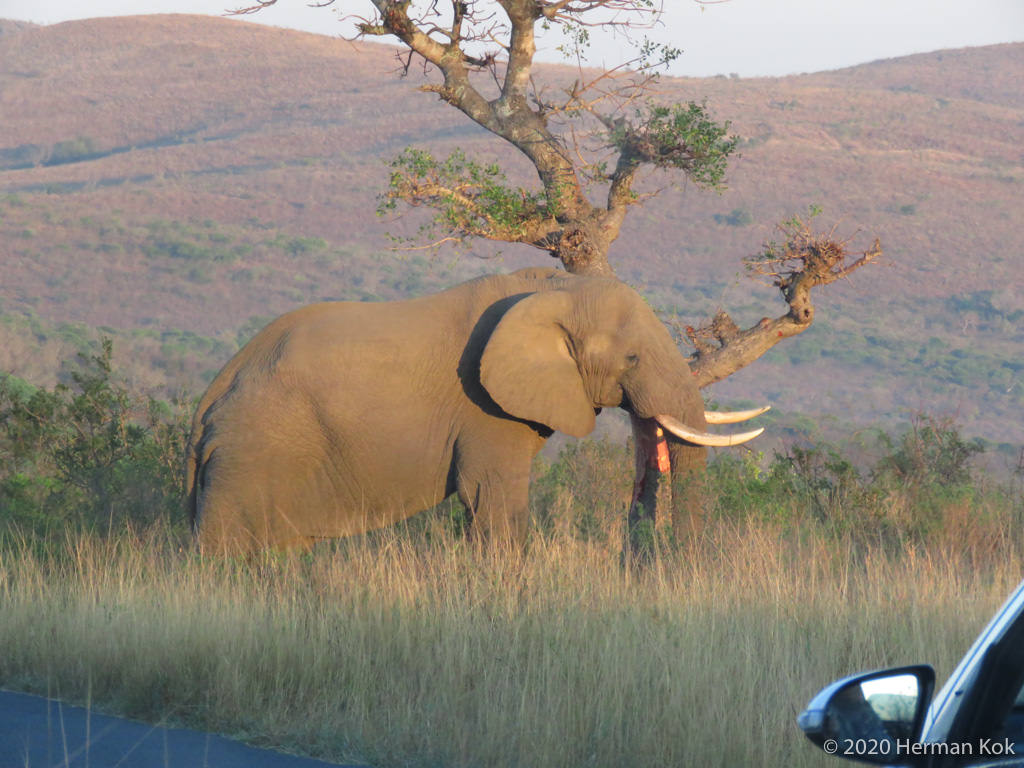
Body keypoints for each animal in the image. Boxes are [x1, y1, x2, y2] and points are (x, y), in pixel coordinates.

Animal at [186, 267, 766, 553]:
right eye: (632, 358)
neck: (552, 288)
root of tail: (206, 405)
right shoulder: (483, 409)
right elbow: (491, 497)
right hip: (249, 455)